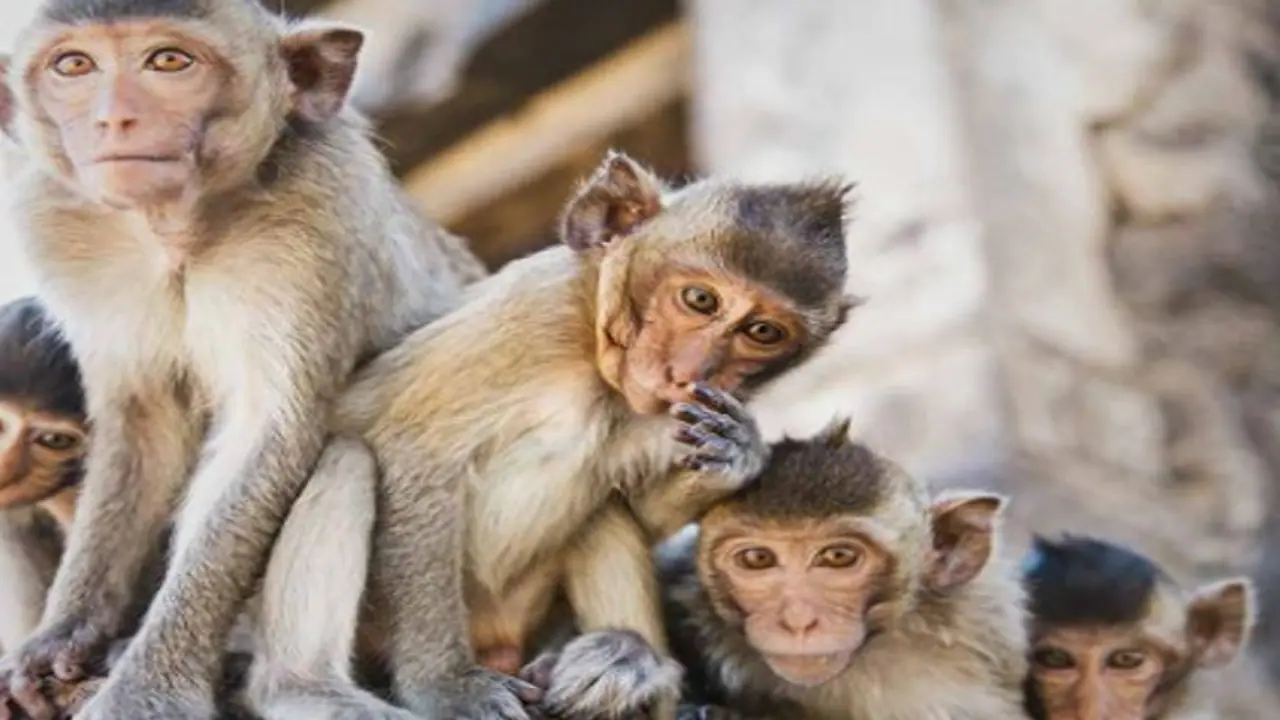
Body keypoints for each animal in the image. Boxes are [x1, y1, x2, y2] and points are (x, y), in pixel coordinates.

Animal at [0, 0, 499, 717]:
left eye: (169, 61)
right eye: (74, 65)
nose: (112, 119)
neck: (176, 232)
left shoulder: (317, 209)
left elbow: (269, 430)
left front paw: (147, 686)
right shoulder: (58, 220)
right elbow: (141, 423)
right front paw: (62, 634)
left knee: (341, 452)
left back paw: (299, 686)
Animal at [245, 149, 856, 720]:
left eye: (763, 331)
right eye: (700, 299)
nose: (689, 373)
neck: (593, 363)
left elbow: (640, 511)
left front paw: (737, 454)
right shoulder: (533, 317)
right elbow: (414, 454)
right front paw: (448, 687)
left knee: (603, 513)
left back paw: (631, 674)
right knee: (349, 457)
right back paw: (301, 687)